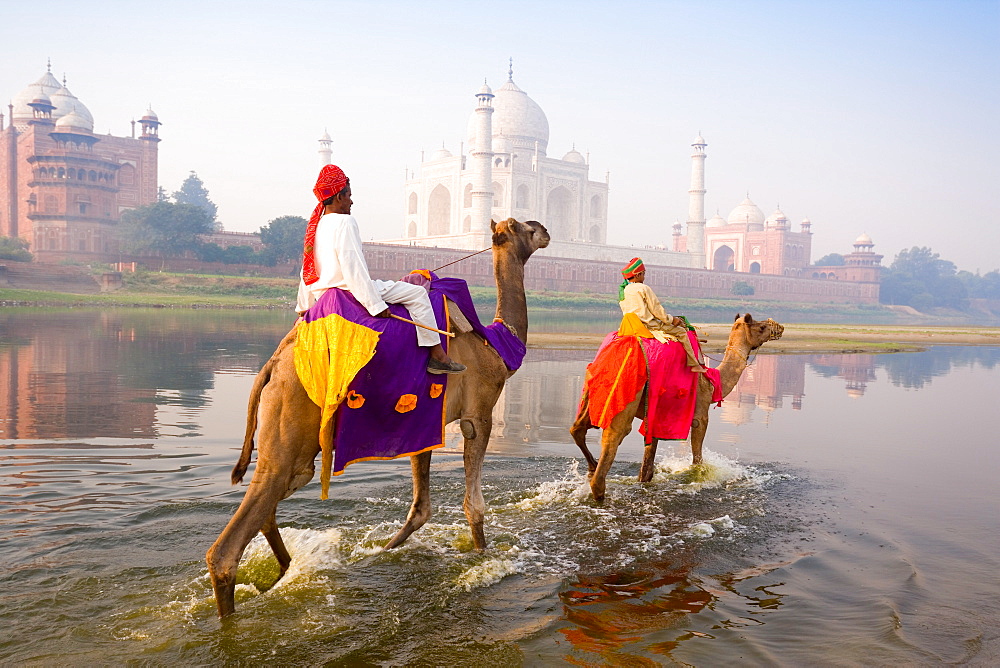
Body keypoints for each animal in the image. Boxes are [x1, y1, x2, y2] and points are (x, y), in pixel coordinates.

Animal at [205, 218, 548, 616]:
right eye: (524, 228)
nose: (544, 230)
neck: (494, 345)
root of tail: (272, 366)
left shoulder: (424, 423)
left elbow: (420, 509)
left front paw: (380, 552)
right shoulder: (479, 412)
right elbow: (473, 506)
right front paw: (481, 556)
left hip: (297, 447)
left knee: (270, 508)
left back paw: (284, 572)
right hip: (291, 425)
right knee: (229, 547)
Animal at [568, 314, 784, 500]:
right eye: (761, 327)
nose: (779, 327)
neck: (713, 381)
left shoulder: (654, 415)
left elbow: (646, 468)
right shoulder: (700, 413)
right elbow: (697, 459)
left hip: (590, 389)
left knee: (577, 429)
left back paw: (591, 467)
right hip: (625, 394)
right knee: (613, 437)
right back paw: (598, 486)